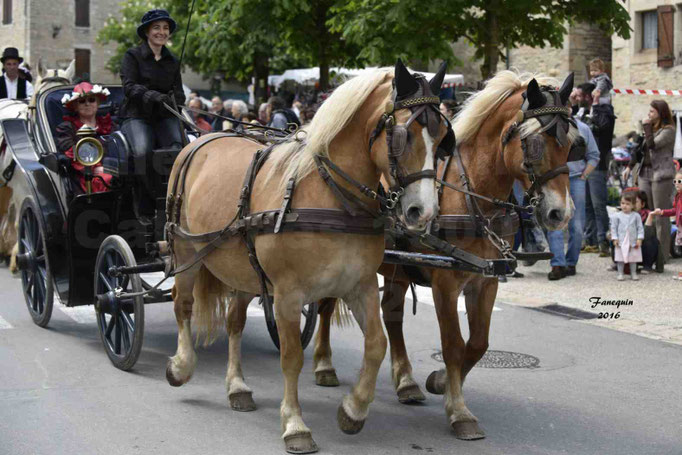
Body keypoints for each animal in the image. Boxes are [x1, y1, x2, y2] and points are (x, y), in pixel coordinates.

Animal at [164, 61, 448, 455]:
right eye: (403, 136)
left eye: (443, 139)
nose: (424, 213)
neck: (331, 197)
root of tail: (200, 140)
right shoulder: (287, 295)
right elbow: (291, 357)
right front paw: (295, 424)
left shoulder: (359, 285)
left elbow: (377, 344)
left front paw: (353, 409)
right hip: (186, 251)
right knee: (183, 304)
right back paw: (182, 366)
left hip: (244, 269)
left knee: (235, 322)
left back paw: (237, 386)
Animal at [310, 71, 576, 442]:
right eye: (536, 143)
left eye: (571, 144)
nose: (559, 214)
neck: (472, 196)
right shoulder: (445, 284)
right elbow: (452, 344)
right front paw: (459, 411)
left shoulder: (484, 282)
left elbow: (477, 344)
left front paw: (442, 384)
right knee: (325, 305)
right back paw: (324, 363)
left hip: (397, 268)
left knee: (391, 315)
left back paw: (406, 381)